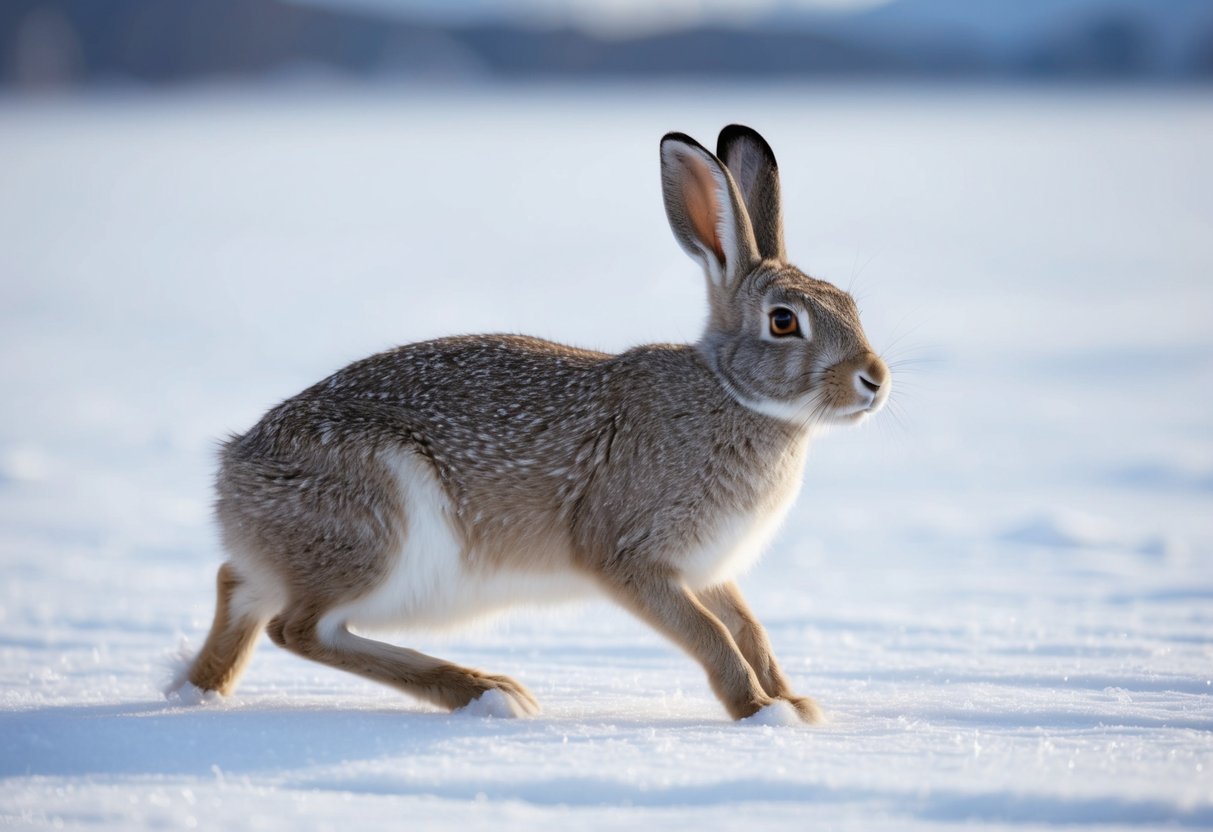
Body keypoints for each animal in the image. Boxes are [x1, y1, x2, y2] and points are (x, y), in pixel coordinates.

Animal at [175, 124, 890, 722]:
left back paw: (199, 687)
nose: (874, 380)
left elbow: (749, 629)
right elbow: (712, 637)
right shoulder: (631, 557)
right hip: (378, 526)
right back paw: (487, 693)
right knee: (299, 628)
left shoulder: (705, 571)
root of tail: (233, 472)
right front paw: (761, 714)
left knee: (237, 585)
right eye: (783, 322)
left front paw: (796, 705)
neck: (734, 394)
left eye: (851, 303)